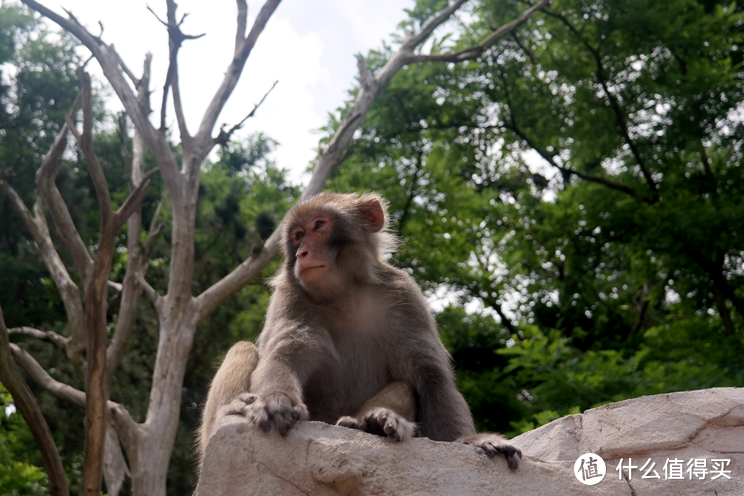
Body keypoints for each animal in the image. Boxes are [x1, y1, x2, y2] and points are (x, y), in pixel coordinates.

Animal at [199, 193, 524, 468]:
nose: (302, 253)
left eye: (319, 225)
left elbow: (430, 376)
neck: (346, 296)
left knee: (406, 385)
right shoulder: (290, 297)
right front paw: (277, 400)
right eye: (298, 235)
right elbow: (284, 356)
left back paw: (371, 422)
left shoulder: (405, 295)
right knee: (244, 348)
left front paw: (468, 439)